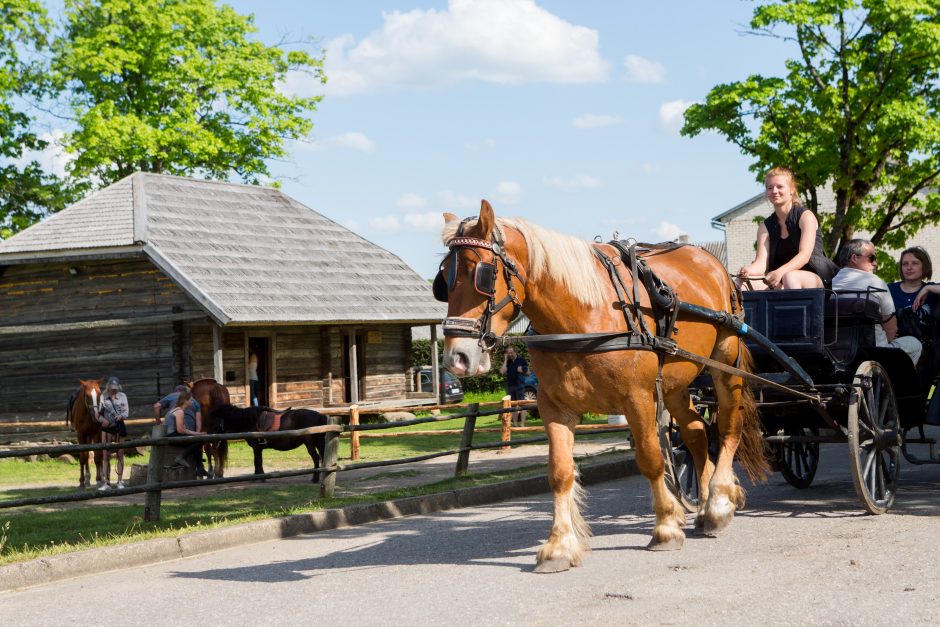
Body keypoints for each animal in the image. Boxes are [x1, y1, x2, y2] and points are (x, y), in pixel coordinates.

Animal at [436, 202, 768, 576]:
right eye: (443, 280)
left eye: (481, 273)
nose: (456, 358)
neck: (581, 316)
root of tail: (711, 263)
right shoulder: (555, 407)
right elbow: (560, 472)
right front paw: (559, 546)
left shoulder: (637, 398)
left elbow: (650, 459)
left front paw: (666, 527)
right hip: (674, 382)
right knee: (697, 432)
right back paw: (709, 503)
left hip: (724, 362)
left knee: (727, 427)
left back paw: (720, 500)